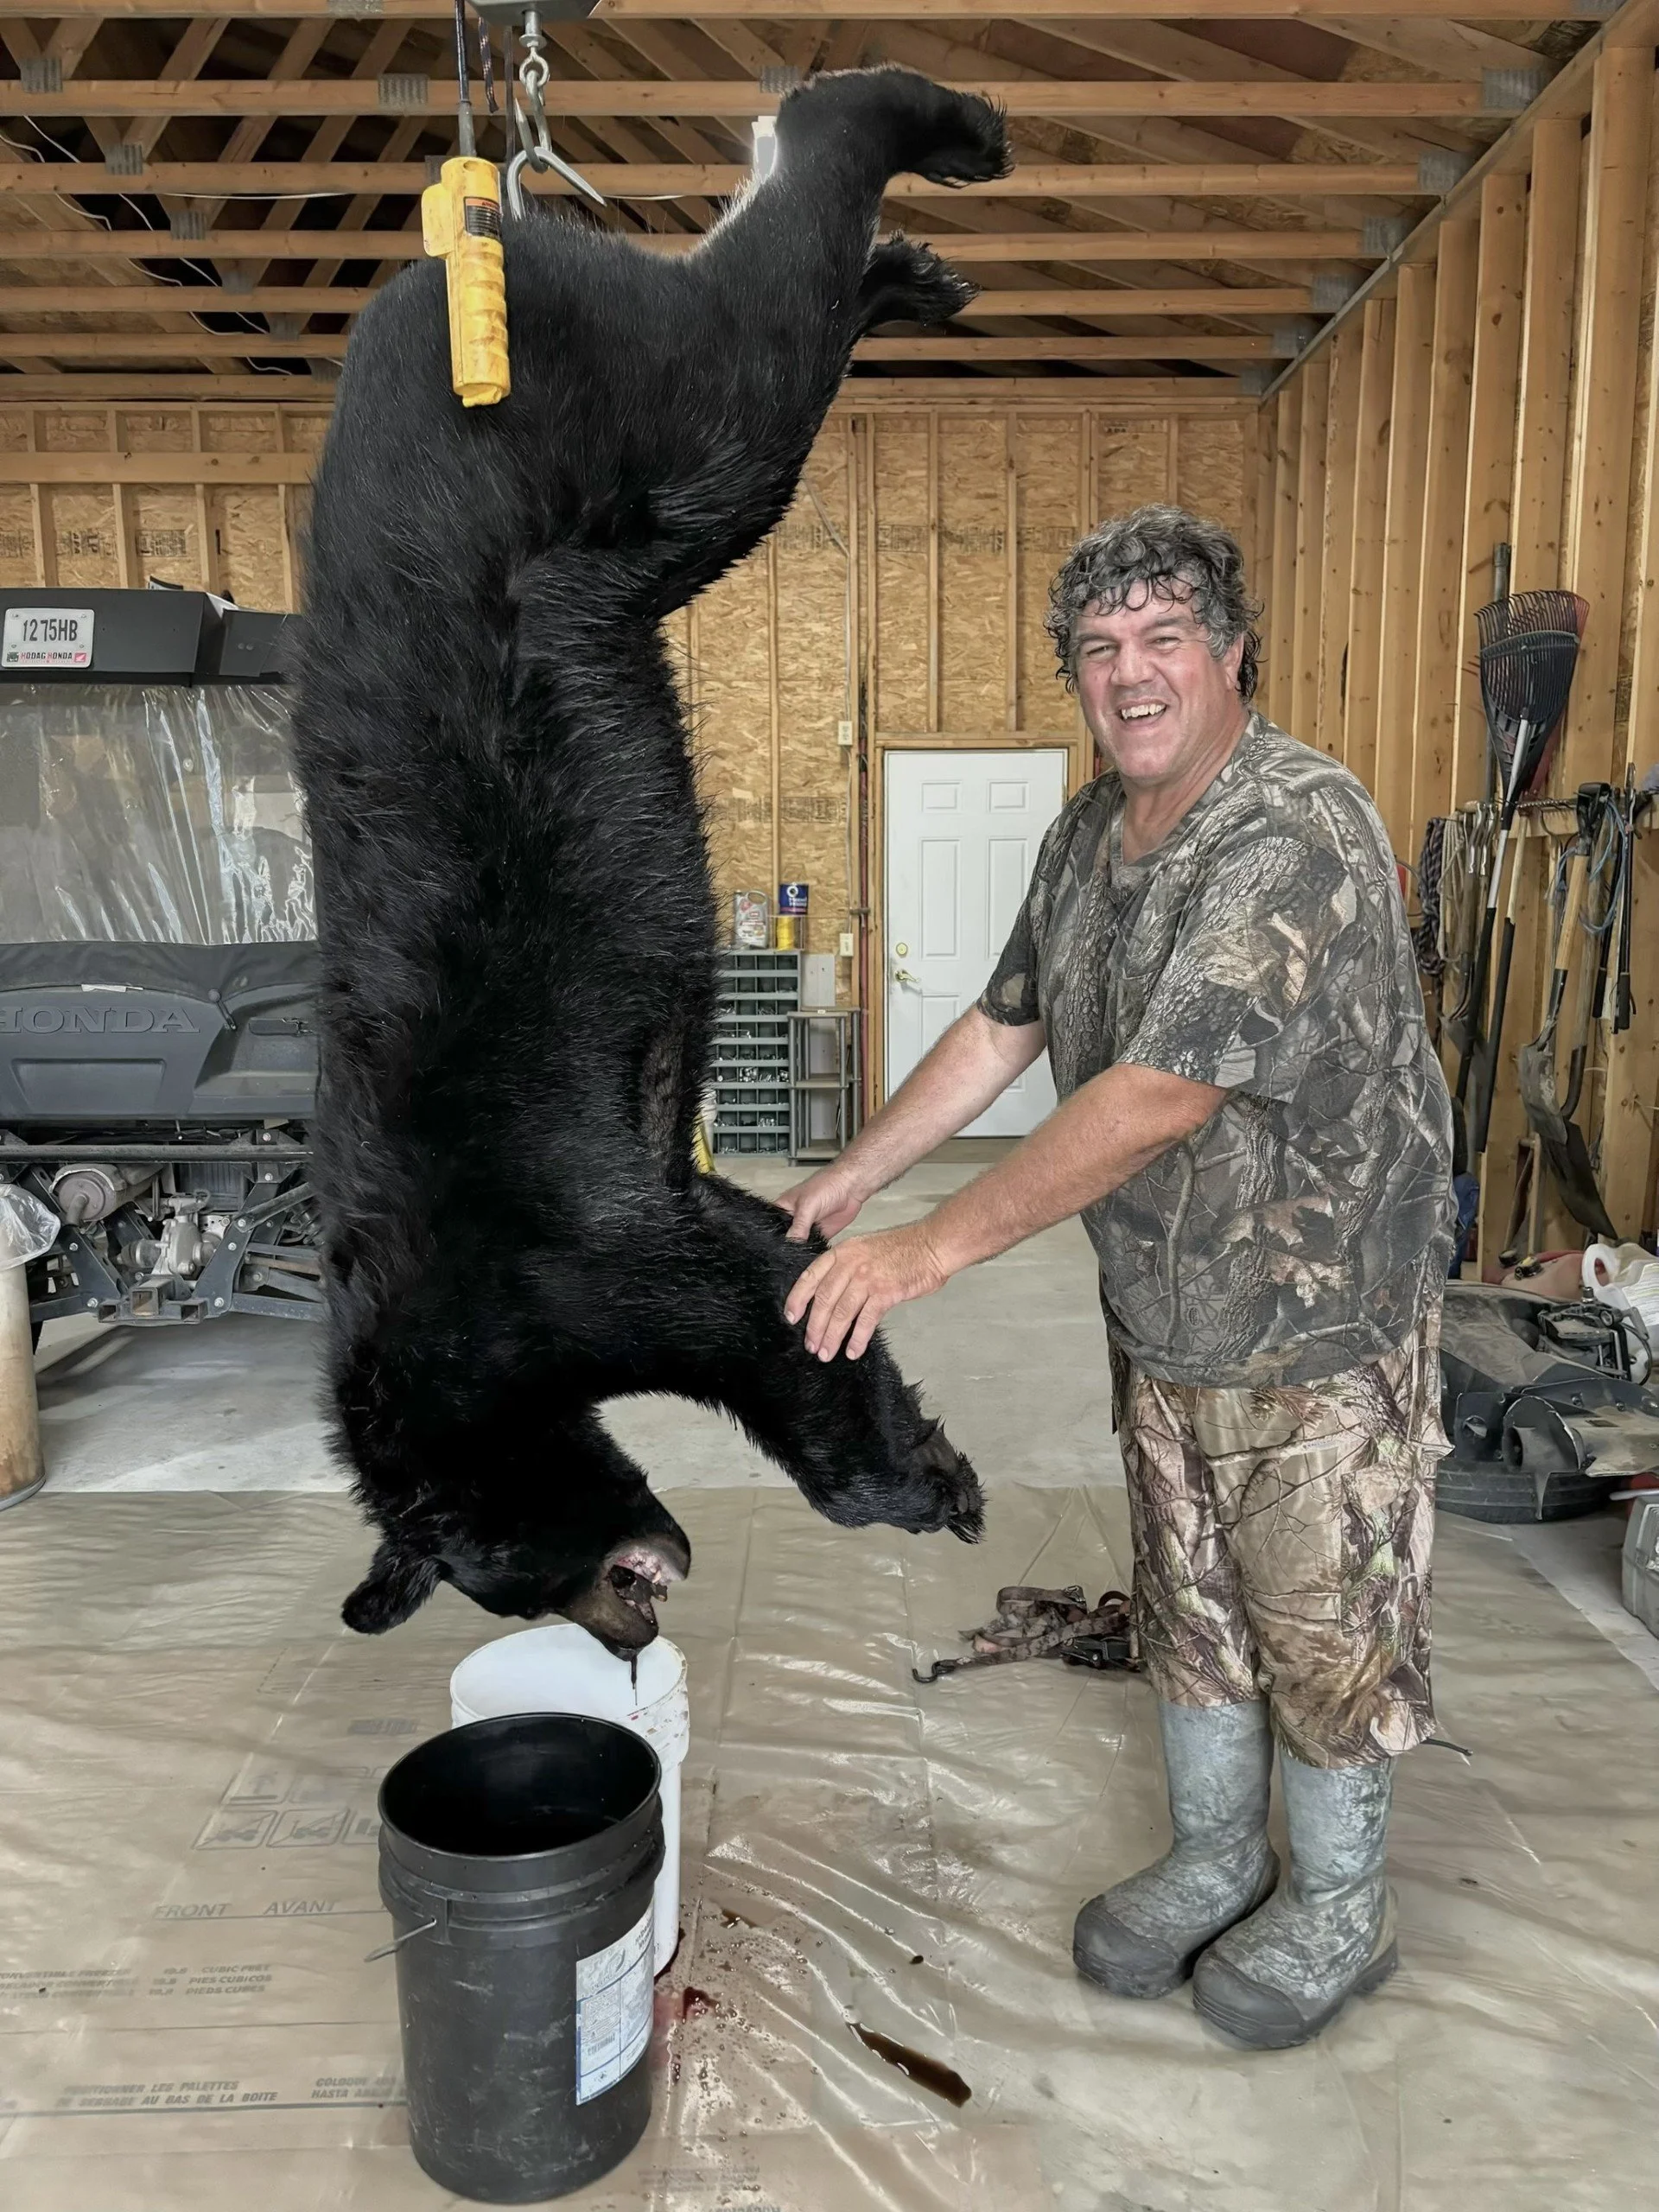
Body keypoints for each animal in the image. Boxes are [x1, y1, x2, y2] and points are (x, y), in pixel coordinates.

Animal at [289, 66, 1010, 1654]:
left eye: (522, 1569)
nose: (635, 1622)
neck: (446, 1353)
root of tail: (458, 249)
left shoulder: (559, 1263)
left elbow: (760, 1310)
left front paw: (922, 1480)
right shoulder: (642, 1201)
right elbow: (767, 1233)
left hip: (613, 441)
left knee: (748, 342)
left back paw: (937, 131)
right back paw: (909, 272)